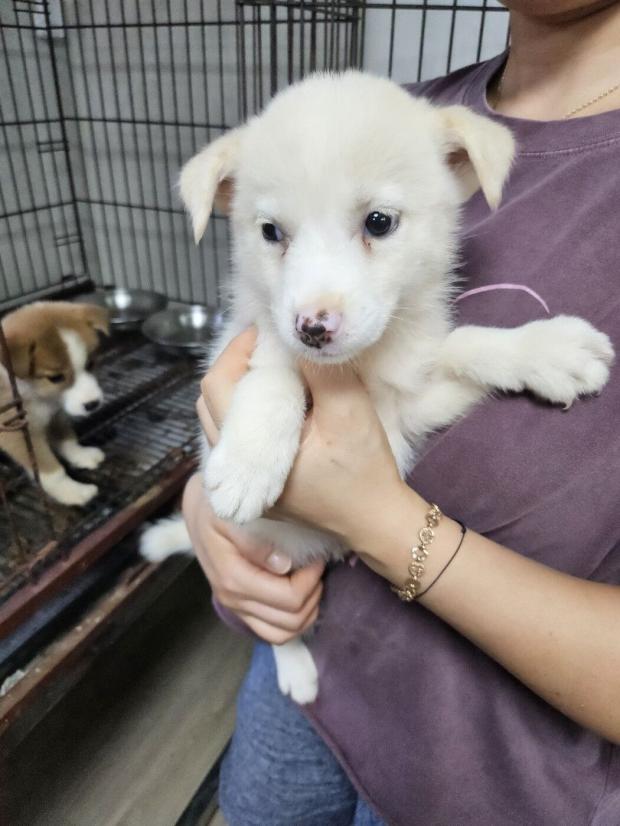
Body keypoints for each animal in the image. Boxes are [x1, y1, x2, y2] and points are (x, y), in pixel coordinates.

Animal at [0, 300, 109, 506]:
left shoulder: (56, 414)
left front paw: (81, 455)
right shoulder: (19, 433)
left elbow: (67, 439)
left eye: (90, 364)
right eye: (56, 378)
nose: (93, 404)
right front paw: (72, 491)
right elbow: (51, 471)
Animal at [142, 72, 616, 700]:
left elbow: (465, 345)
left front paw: (550, 351)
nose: (313, 328)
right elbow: (274, 371)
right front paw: (249, 460)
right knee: (271, 628)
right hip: (265, 562)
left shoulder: (412, 402)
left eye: (379, 222)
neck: (360, 367)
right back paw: (295, 669)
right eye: (270, 233)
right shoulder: (248, 339)